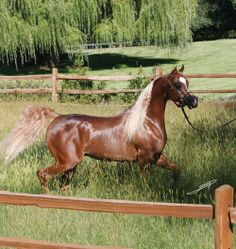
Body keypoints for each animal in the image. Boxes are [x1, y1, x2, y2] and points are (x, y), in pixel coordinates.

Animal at [0, 65, 197, 192]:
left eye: (187, 81)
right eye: (177, 84)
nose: (194, 101)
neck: (145, 122)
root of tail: (56, 117)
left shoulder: (157, 157)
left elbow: (176, 169)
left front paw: (173, 186)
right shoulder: (144, 159)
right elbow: (145, 183)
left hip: (69, 166)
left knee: (63, 186)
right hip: (67, 162)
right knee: (43, 174)